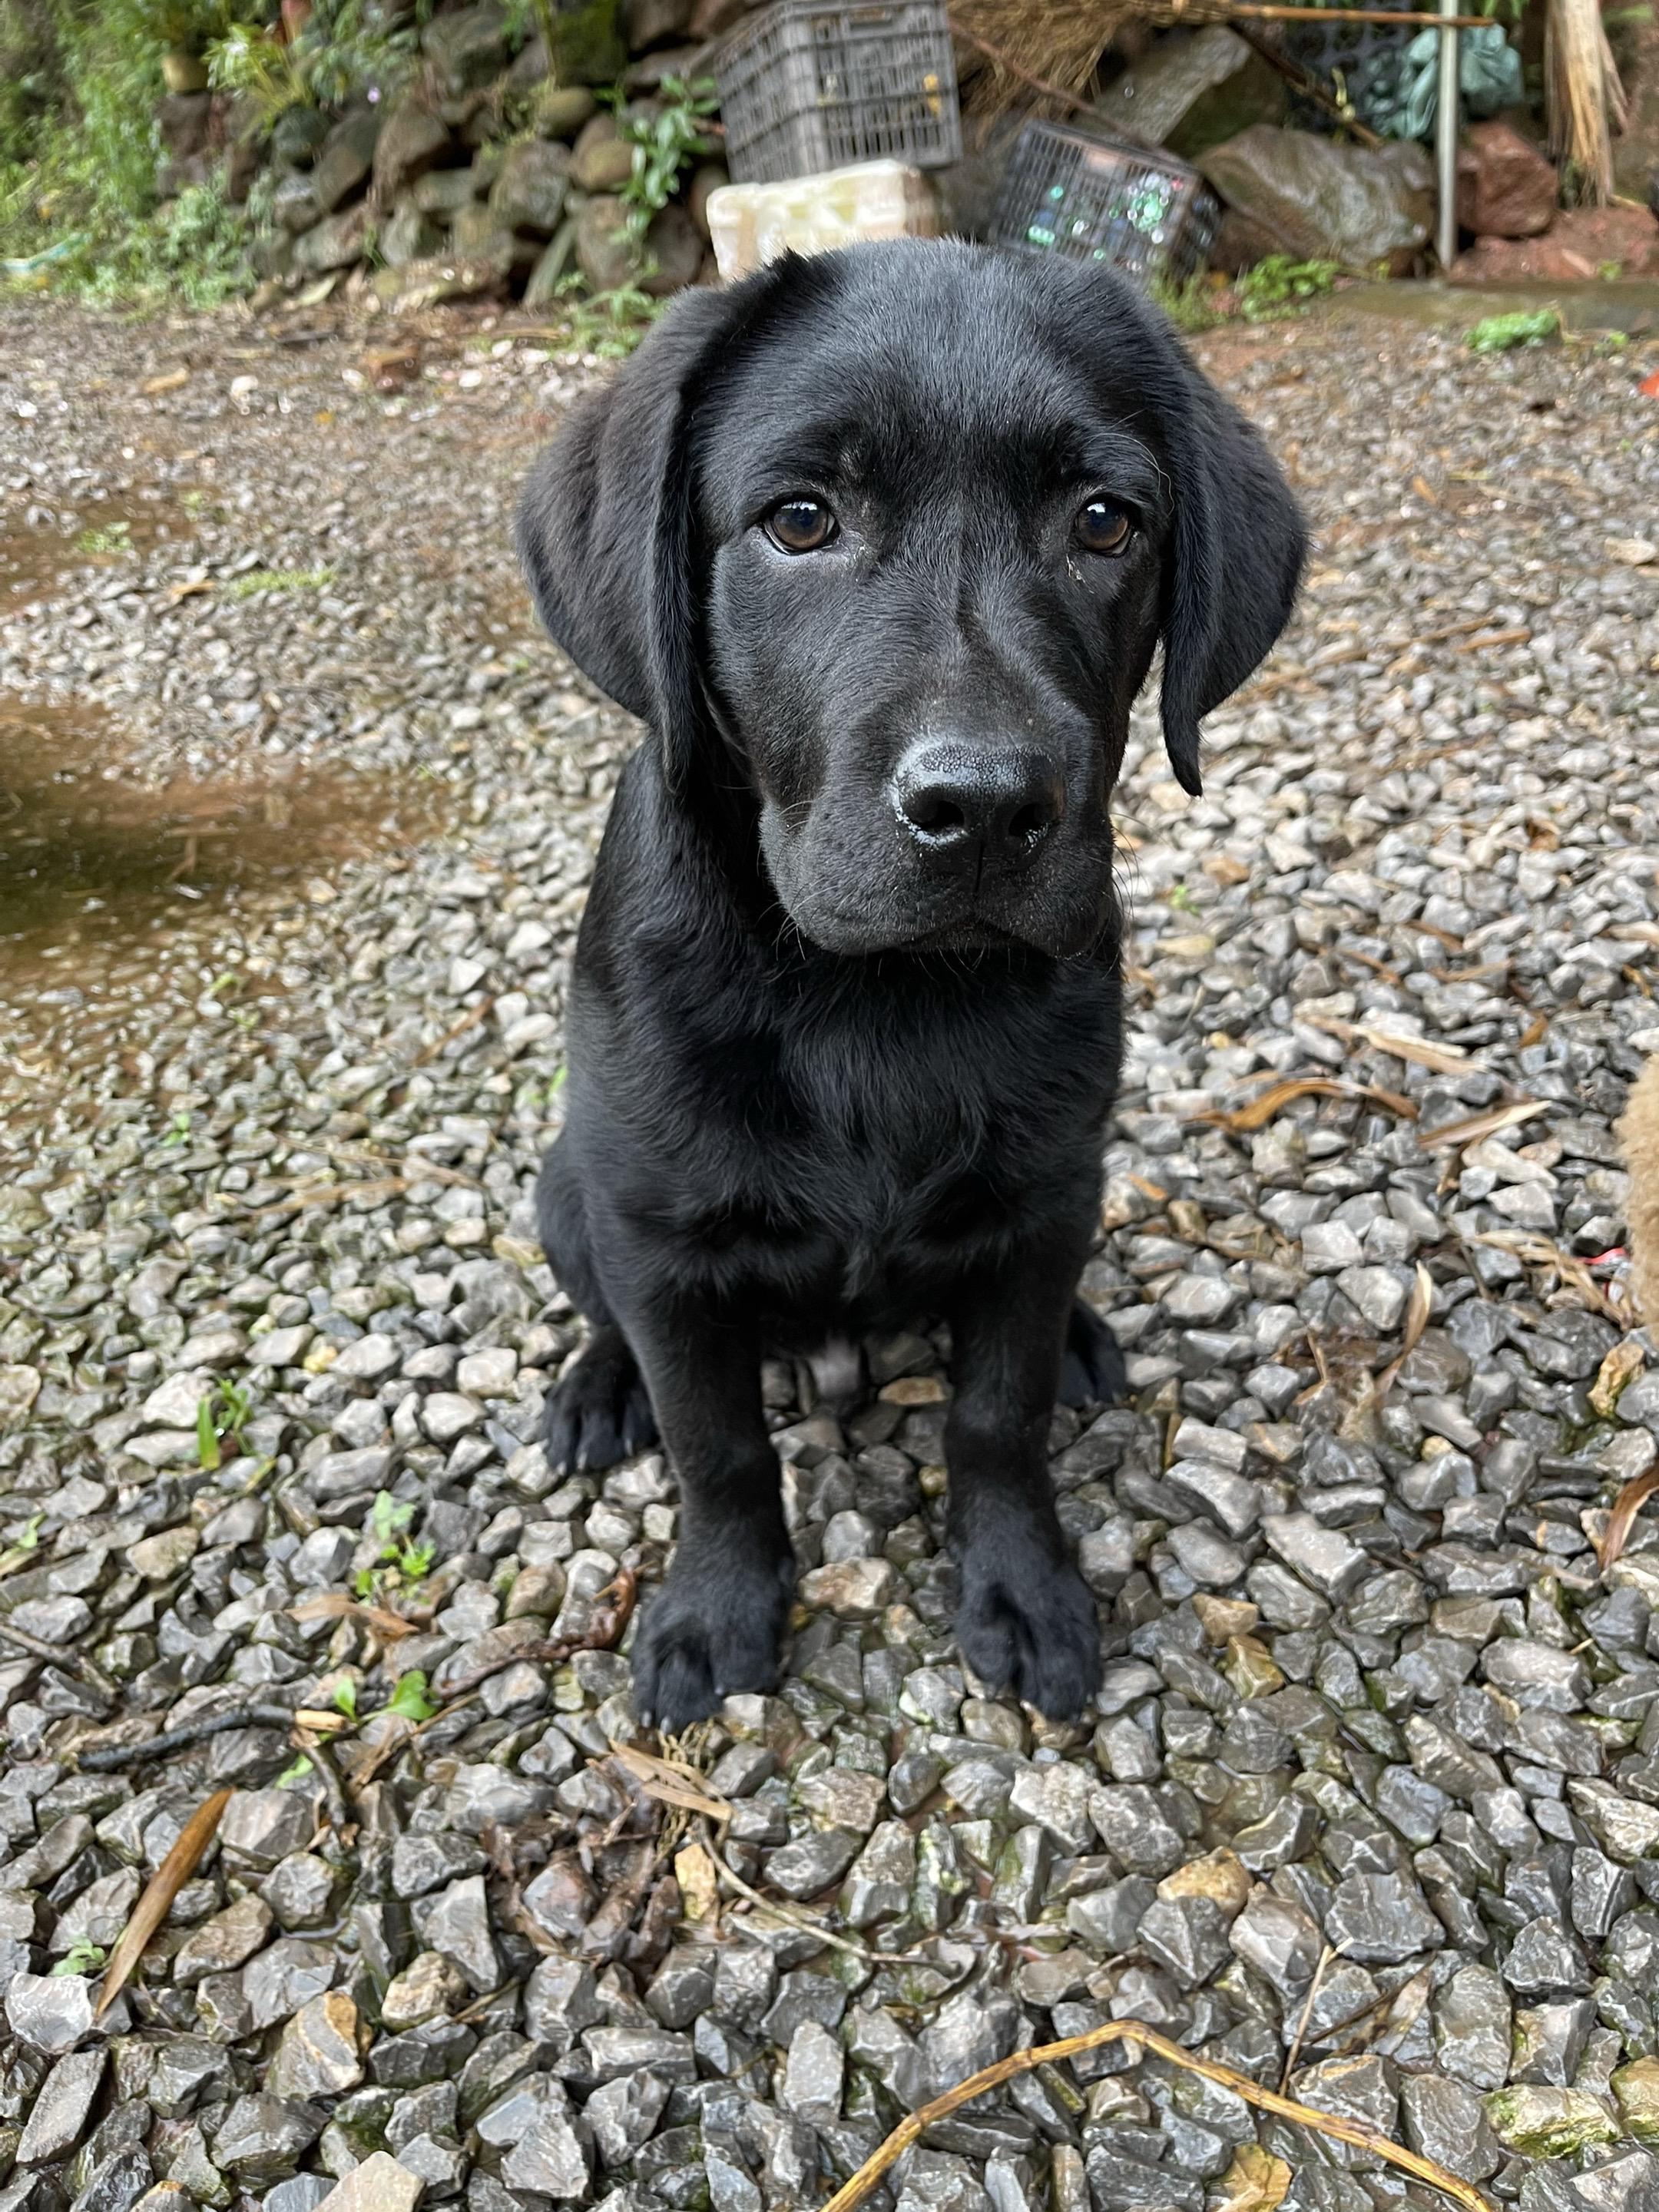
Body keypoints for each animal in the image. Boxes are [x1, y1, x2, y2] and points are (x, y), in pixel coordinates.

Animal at [516, 240, 1305, 1730]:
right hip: (566, 1189)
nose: (985, 808)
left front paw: (1023, 1588)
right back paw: (599, 1392)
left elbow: (996, 1419)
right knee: (604, 1318)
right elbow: (717, 1447)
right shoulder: (659, 1240)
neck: (873, 999)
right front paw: (716, 1607)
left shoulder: (1044, 1199)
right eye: (801, 520)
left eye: (1106, 522)